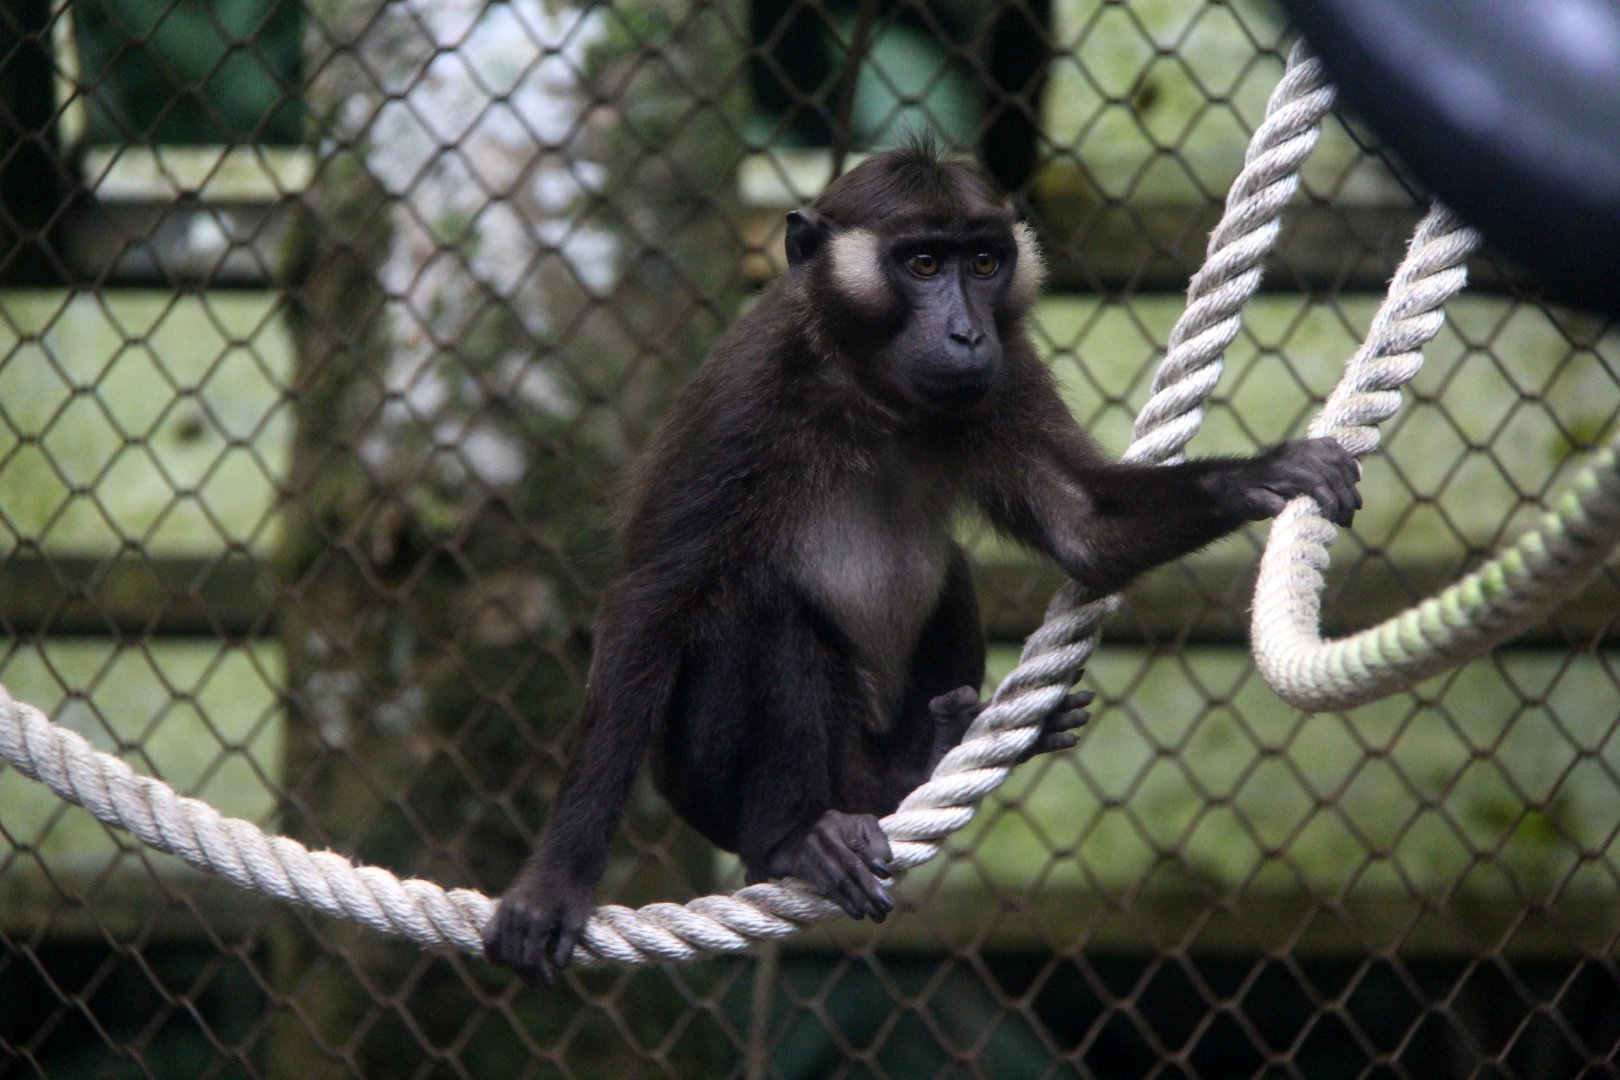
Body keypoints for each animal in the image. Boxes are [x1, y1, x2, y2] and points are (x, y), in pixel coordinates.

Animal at [482, 138, 1360, 980]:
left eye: (984, 263)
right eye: (924, 265)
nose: (966, 332)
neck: (870, 393)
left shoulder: (1008, 369)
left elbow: (1085, 526)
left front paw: (1267, 474)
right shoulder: (747, 386)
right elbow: (651, 602)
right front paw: (555, 884)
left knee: (944, 570)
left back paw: (921, 763)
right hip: (702, 776)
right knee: (755, 608)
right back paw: (793, 839)